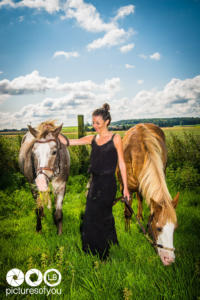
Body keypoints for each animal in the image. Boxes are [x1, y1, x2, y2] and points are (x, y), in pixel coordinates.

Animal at [116, 123, 179, 266]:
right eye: (159, 228)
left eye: (175, 229)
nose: (169, 260)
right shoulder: (125, 189)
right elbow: (127, 212)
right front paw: (127, 232)